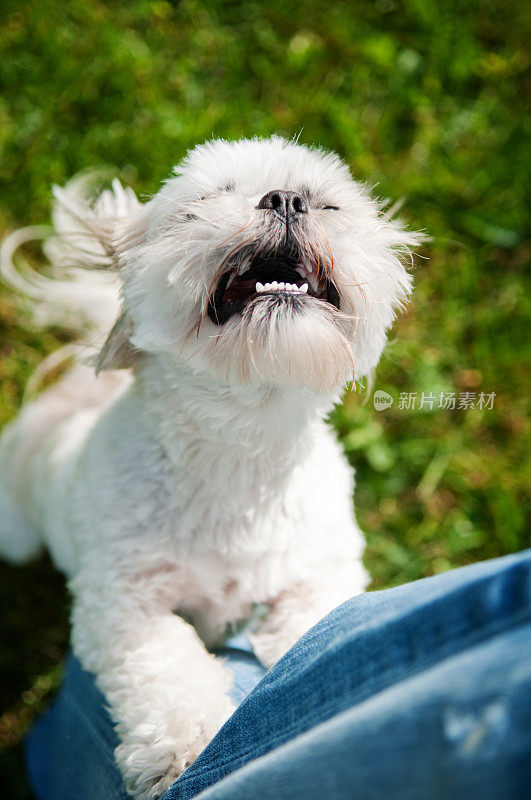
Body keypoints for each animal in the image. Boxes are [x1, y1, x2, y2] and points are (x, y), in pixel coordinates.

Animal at [0, 134, 420, 796]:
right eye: (204, 201)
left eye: (327, 204)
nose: (285, 199)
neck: (239, 451)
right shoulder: (123, 603)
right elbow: (165, 665)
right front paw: (182, 749)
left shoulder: (322, 568)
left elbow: (314, 625)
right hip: (15, 528)